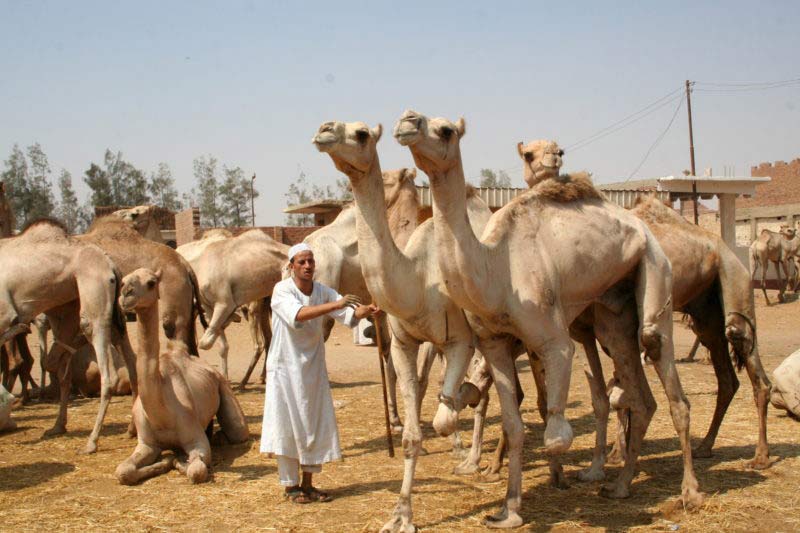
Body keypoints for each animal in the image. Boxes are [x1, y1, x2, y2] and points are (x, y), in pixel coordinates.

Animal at [0, 218, 136, 450]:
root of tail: (111, 264)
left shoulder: (3, 313)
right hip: (76, 304)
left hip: (93, 294)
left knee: (105, 370)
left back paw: (91, 441)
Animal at [115, 268, 250, 484]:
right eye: (123, 282)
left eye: (151, 283)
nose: (126, 295)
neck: (161, 415)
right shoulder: (146, 443)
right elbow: (123, 471)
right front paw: (163, 462)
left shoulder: (195, 437)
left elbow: (197, 470)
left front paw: (176, 461)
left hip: (223, 386)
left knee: (237, 430)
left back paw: (218, 436)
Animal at [312, 119, 488, 532]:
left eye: (361, 133)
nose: (324, 130)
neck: (419, 279)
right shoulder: (405, 341)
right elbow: (412, 434)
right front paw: (401, 515)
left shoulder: (459, 340)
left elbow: (443, 416)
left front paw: (460, 404)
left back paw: (474, 454)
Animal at [396, 112, 704, 528]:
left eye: (445, 130)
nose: (407, 121)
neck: (496, 268)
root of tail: (642, 227)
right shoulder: (493, 342)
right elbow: (513, 424)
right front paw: (508, 510)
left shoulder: (553, 339)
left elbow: (555, 434)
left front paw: (558, 482)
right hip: (614, 313)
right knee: (642, 396)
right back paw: (620, 486)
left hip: (656, 269)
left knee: (662, 363)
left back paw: (689, 493)